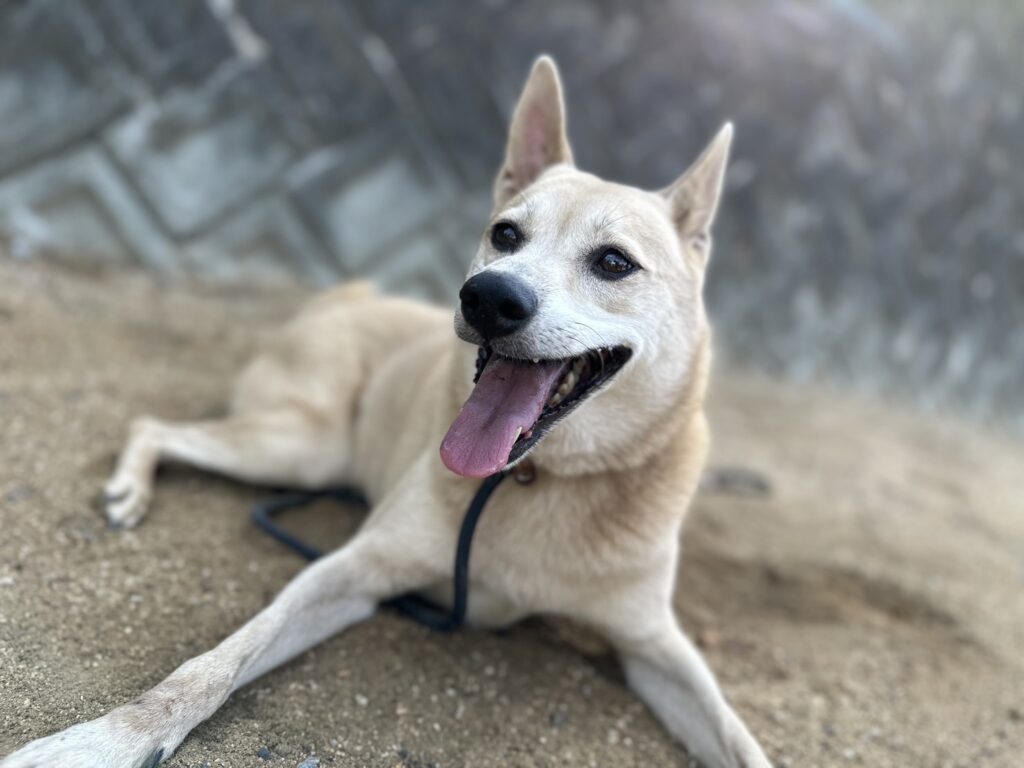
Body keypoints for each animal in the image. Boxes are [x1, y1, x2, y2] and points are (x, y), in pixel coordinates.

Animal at [2, 57, 771, 768]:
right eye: (506, 235)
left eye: (614, 263)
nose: (489, 298)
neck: (534, 478)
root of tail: (350, 296)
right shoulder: (352, 568)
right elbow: (214, 663)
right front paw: (102, 741)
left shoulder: (654, 647)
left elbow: (739, 739)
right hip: (301, 446)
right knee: (152, 425)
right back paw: (128, 491)